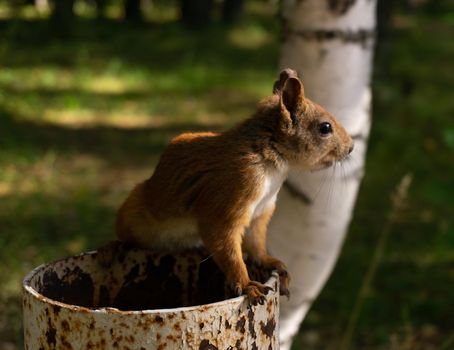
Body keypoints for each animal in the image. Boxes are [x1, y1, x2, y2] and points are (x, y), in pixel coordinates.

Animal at [115, 68, 352, 304]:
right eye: (325, 127)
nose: (351, 147)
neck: (272, 163)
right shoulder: (230, 194)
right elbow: (225, 242)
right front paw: (247, 285)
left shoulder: (261, 212)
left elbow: (256, 244)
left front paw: (272, 262)